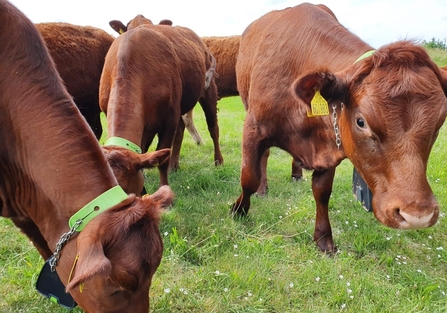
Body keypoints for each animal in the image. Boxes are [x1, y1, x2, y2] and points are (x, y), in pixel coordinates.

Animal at [103, 15, 224, 195]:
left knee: (213, 128)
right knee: (181, 130)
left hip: (208, 91)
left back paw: (218, 161)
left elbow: (162, 159)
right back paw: (175, 165)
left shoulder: (169, 118)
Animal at [231, 2, 447, 251]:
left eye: (439, 123)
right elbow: (249, 177)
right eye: (361, 121)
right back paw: (263, 189)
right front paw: (239, 210)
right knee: (263, 158)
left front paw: (324, 239)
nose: (417, 216)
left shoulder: (330, 144)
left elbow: (322, 192)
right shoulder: (253, 128)